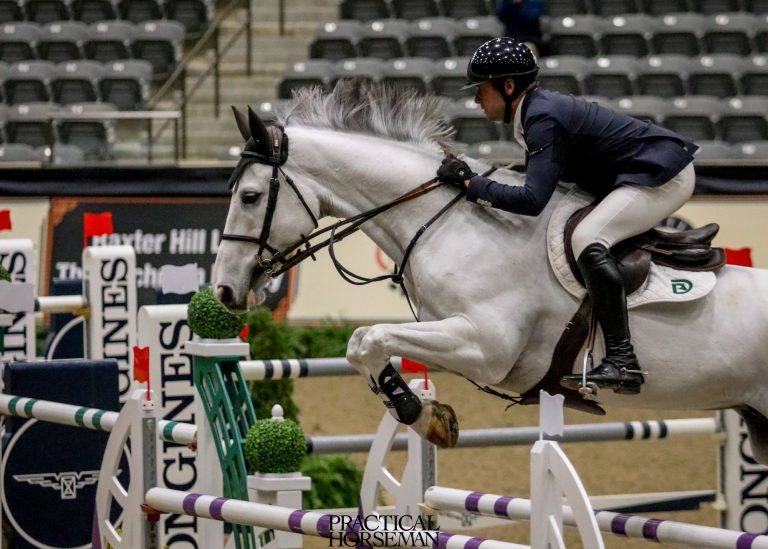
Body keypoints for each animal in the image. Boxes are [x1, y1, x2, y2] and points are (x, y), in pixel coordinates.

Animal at [212, 81, 768, 464]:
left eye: (250, 196)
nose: (224, 290)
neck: (446, 220)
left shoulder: (486, 346)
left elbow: (369, 338)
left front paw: (422, 416)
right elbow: (361, 343)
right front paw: (429, 417)